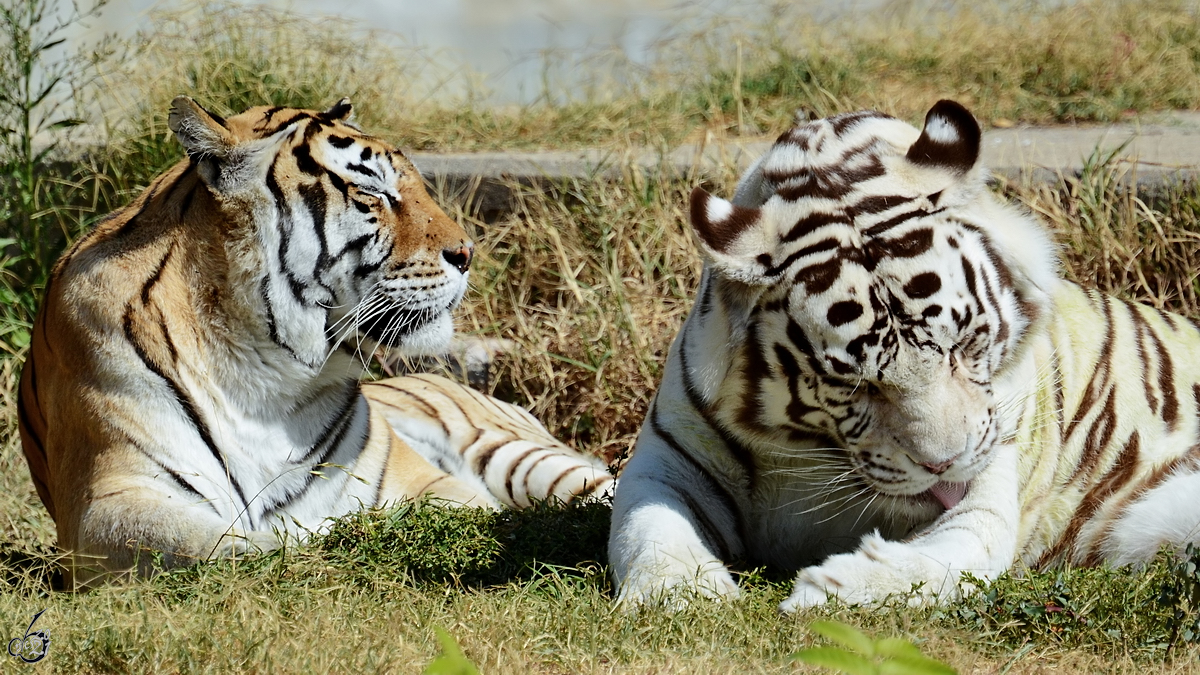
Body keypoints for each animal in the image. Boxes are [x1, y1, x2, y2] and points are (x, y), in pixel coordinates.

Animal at [614, 99, 1200, 610]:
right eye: (854, 383)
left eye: (963, 346)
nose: (942, 465)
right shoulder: (670, 458)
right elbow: (650, 527)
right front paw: (681, 595)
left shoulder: (990, 473)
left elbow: (946, 558)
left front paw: (826, 591)